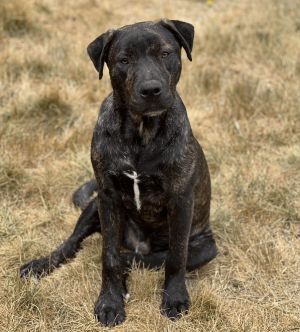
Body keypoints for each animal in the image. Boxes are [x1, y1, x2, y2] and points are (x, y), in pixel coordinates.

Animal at [20, 20, 218, 326]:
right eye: (124, 60)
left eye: (165, 53)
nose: (151, 90)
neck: (141, 132)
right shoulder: (108, 197)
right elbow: (108, 256)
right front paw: (110, 302)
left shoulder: (181, 202)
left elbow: (175, 258)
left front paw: (174, 298)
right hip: (94, 206)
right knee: (74, 243)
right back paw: (41, 264)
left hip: (206, 246)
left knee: (150, 259)